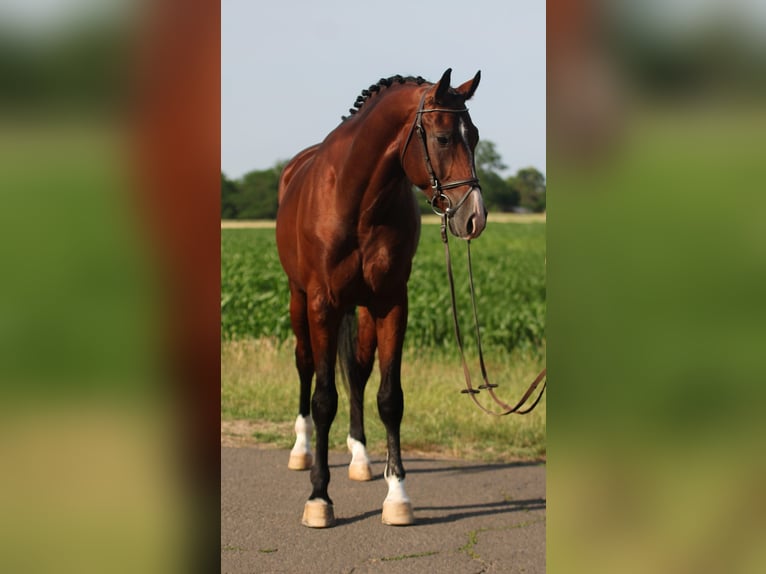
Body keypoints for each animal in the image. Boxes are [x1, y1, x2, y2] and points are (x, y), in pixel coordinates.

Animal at [275, 68, 486, 528]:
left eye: (476, 137)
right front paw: (319, 498)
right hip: (299, 300)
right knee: (305, 365)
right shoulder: (322, 304)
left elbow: (389, 398)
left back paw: (360, 457)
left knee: (356, 372)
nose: (474, 218)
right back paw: (300, 452)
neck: (357, 201)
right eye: (444, 138)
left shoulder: (391, 303)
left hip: (363, 310)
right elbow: (323, 399)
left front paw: (397, 496)